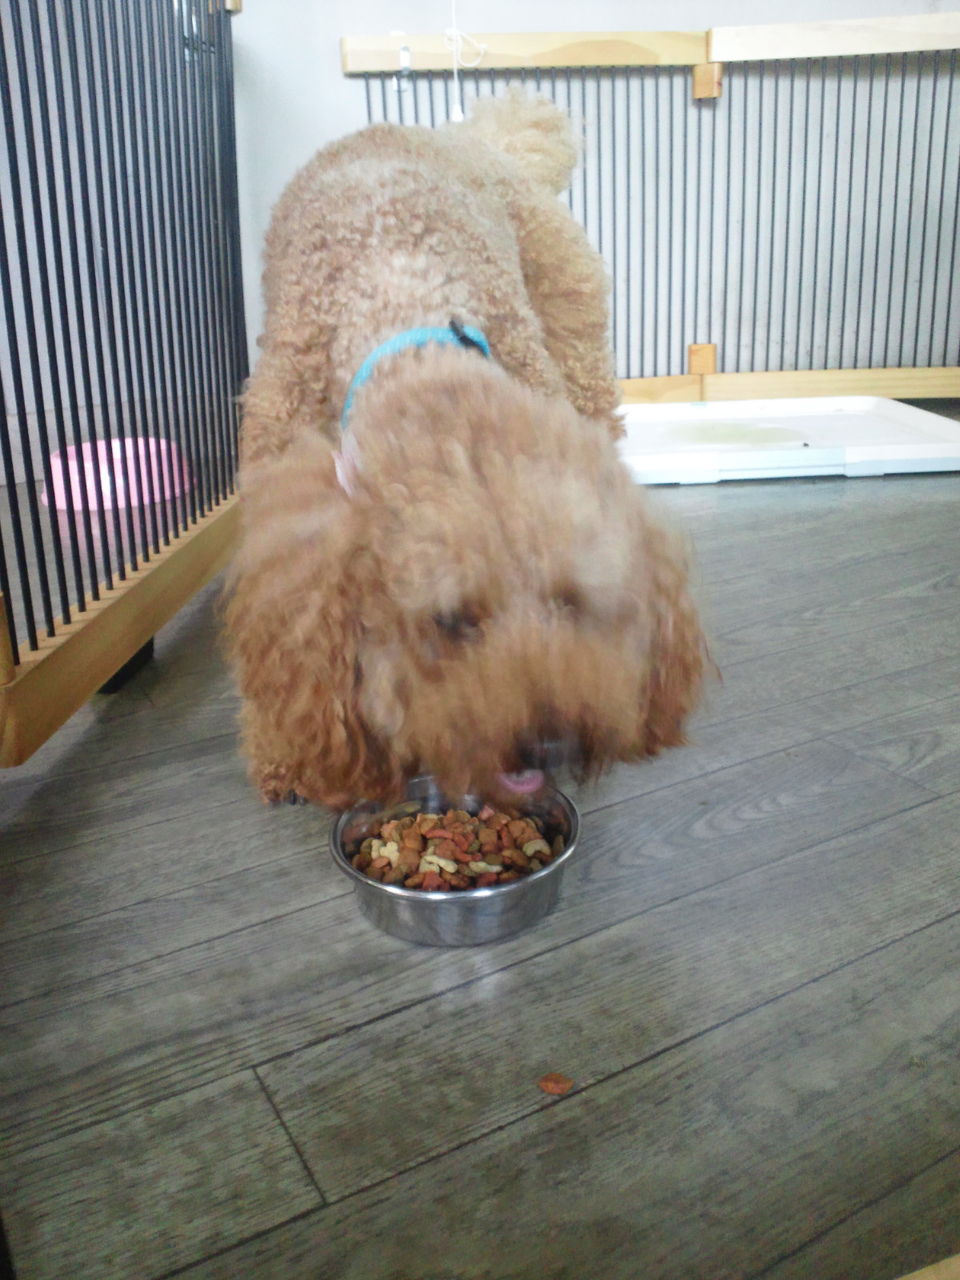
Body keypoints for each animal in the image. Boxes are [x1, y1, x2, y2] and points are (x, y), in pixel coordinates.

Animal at [225, 93, 704, 810]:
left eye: (569, 604)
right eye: (450, 622)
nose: (548, 743)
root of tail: (485, 141)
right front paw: (286, 756)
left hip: (576, 340)